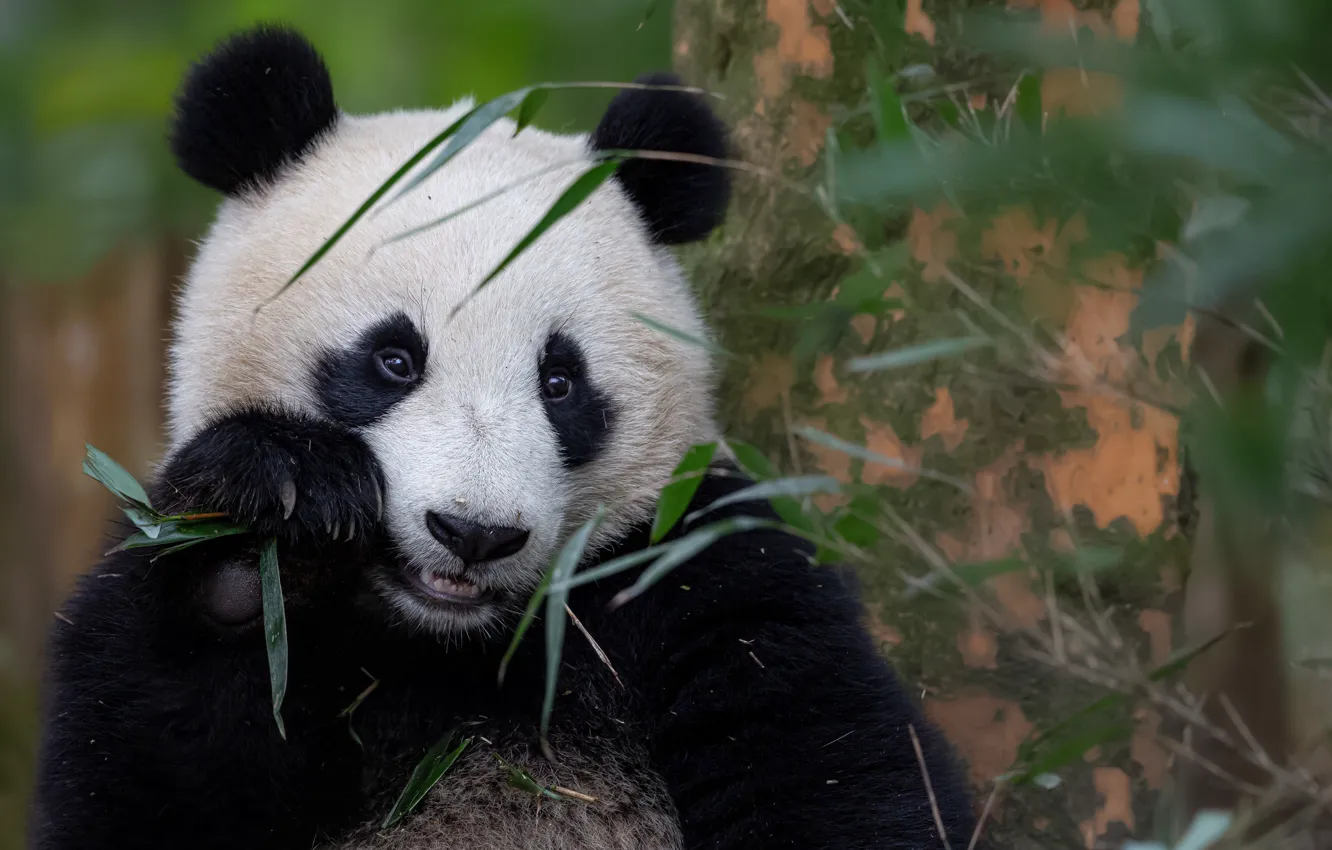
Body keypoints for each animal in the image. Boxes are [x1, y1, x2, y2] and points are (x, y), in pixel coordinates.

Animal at [30, 24, 980, 850]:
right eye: (393, 359)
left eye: (560, 382)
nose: (474, 534)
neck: (453, 637)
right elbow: (143, 780)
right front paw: (267, 533)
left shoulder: (702, 574)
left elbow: (840, 772)